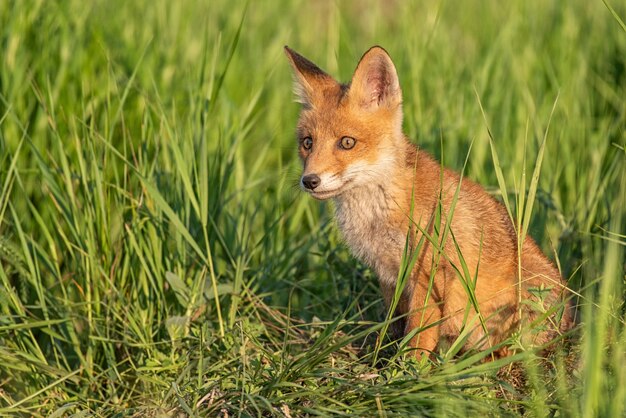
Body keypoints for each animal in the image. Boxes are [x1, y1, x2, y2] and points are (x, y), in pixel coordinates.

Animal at [282, 46, 572, 360]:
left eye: (347, 142)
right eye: (308, 143)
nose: (309, 181)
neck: (379, 212)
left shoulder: (429, 273)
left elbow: (418, 336)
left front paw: (407, 368)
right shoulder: (388, 276)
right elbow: (395, 326)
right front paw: (382, 359)